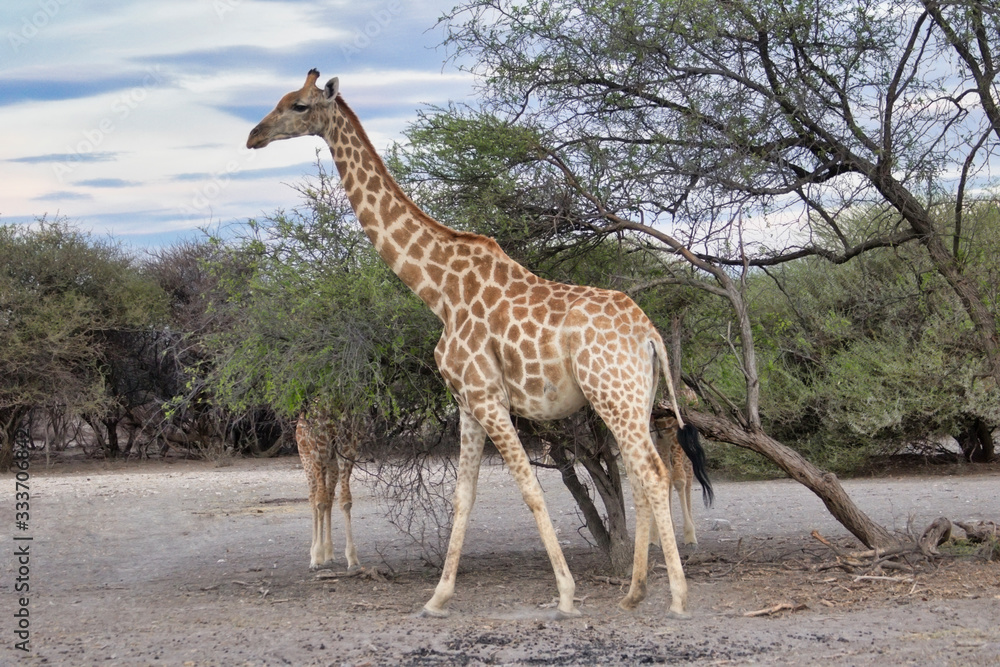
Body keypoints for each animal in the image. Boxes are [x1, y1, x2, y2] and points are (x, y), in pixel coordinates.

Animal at [295, 408, 359, 571]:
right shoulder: (318, 453)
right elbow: (320, 502)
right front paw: (317, 558)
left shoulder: (347, 451)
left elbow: (345, 501)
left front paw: (353, 559)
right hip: (307, 459)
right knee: (313, 497)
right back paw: (313, 553)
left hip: (332, 464)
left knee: (329, 496)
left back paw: (329, 555)